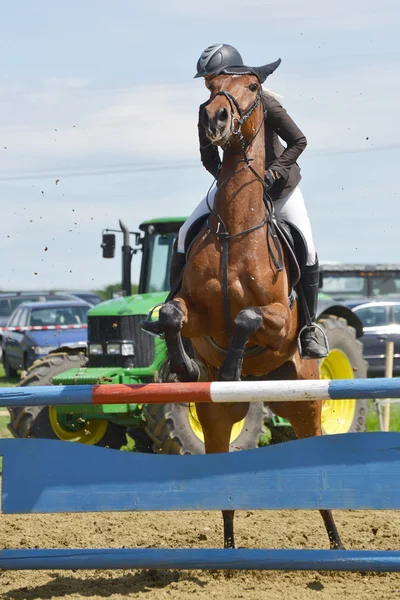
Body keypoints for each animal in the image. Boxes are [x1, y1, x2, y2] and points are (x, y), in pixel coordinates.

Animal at [155, 72, 342, 552]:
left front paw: (231, 369)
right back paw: (228, 550)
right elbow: (171, 316)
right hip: (218, 417)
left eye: (254, 87)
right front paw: (186, 368)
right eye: (211, 88)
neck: (235, 231)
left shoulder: (277, 320)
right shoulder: (198, 314)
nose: (215, 119)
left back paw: (337, 544)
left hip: (306, 403)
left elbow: (248, 318)